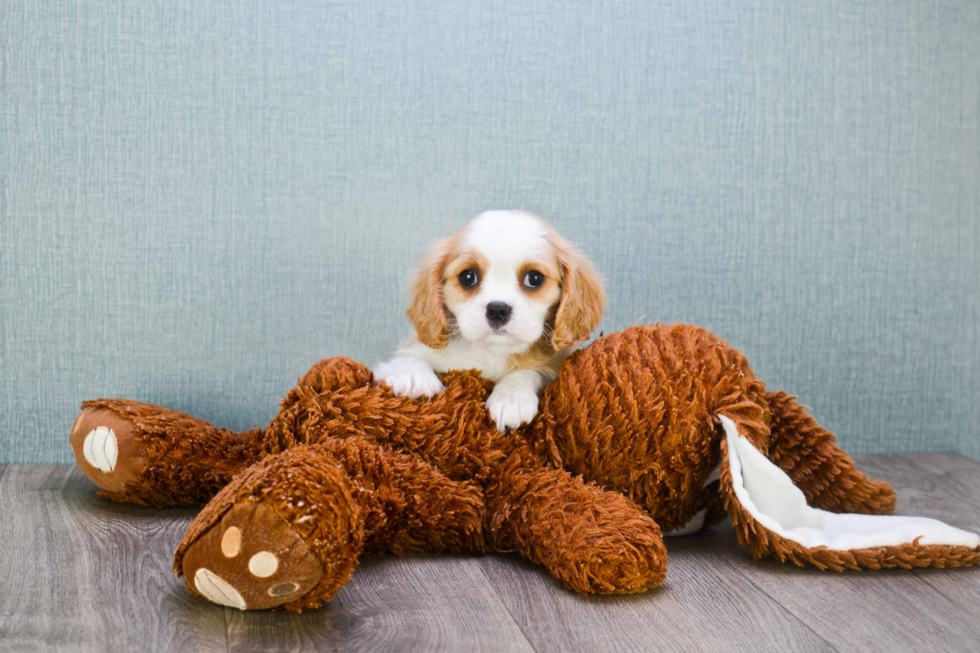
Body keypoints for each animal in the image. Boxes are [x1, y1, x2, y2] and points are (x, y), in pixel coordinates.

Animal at [376, 211, 604, 430]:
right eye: (468, 277)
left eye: (534, 278)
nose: (497, 310)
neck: (490, 351)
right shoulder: (387, 365)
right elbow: (406, 358)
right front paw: (413, 376)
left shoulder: (554, 370)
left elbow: (528, 372)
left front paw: (511, 399)